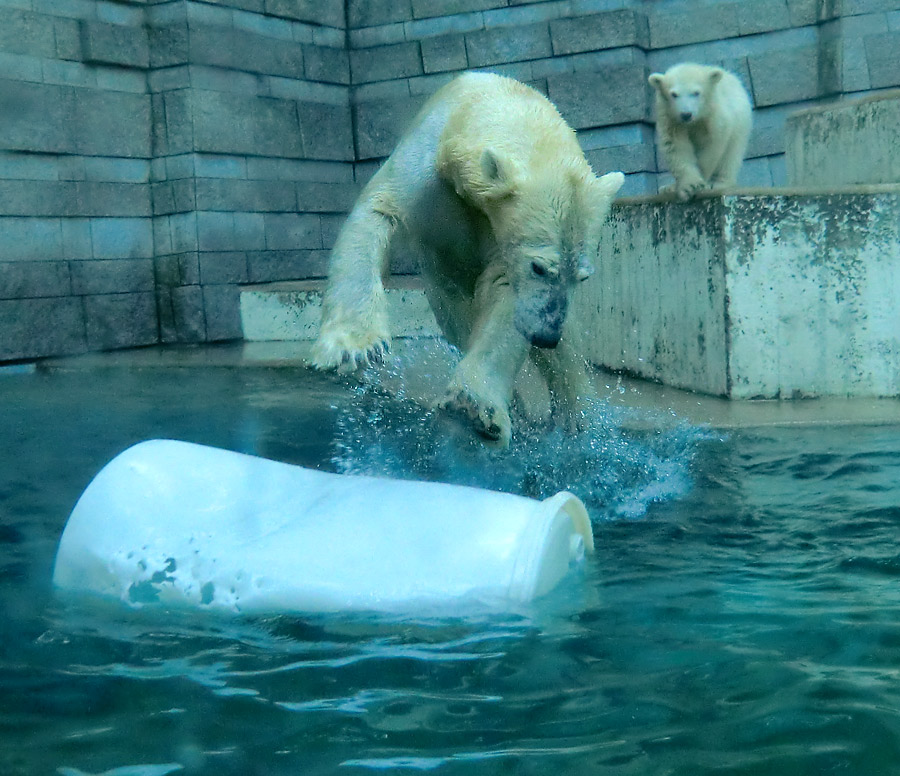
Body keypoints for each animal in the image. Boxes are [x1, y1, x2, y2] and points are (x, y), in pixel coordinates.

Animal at [312, 76, 624, 448]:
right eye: (538, 267)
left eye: (583, 276)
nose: (545, 335)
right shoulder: (426, 171)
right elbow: (378, 213)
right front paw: (356, 348)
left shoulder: (496, 230)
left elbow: (504, 295)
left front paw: (474, 408)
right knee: (457, 319)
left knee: (566, 351)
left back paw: (576, 419)